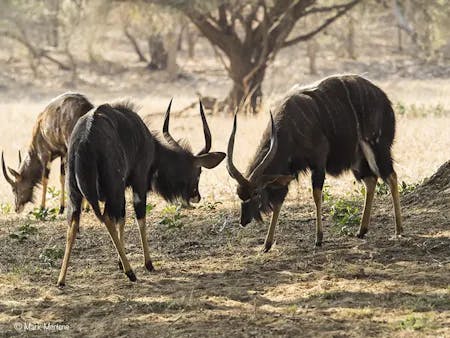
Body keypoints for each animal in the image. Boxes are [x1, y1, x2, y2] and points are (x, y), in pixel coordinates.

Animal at [56, 99, 225, 286]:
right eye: (198, 172)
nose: (196, 196)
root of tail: (84, 141)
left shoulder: (123, 189)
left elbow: (122, 219)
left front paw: (120, 263)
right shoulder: (138, 182)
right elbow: (140, 219)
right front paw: (148, 264)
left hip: (75, 193)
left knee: (73, 222)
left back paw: (61, 280)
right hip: (114, 189)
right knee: (106, 217)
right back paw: (131, 272)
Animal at [227, 75, 402, 252]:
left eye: (256, 193)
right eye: (239, 193)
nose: (243, 220)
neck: (291, 127)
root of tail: (384, 98)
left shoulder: (318, 161)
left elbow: (316, 195)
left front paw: (318, 238)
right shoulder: (287, 173)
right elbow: (278, 202)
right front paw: (266, 244)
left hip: (377, 147)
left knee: (391, 177)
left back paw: (398, 230)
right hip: (358, 159)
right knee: (371, 180)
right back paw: (361, 231)